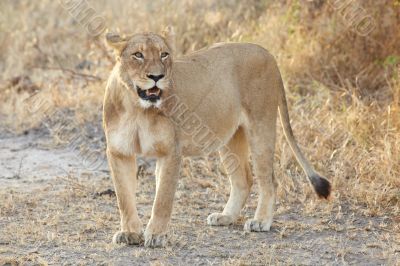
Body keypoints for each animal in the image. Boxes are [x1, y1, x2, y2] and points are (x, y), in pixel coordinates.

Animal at [104, 26, 332, 247]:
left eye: (164, 54)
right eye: (138, 55)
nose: (157, 77)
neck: (137, 109)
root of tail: (267, 53)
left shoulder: (171, 151)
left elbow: (162, 199)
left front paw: (157, 235)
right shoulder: (119, 153)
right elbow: (124, 198)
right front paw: (130, 233)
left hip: (261, 126)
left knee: (269, 180)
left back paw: (260, 221)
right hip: (231, 138)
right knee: (243, 179)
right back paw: (226, 217)